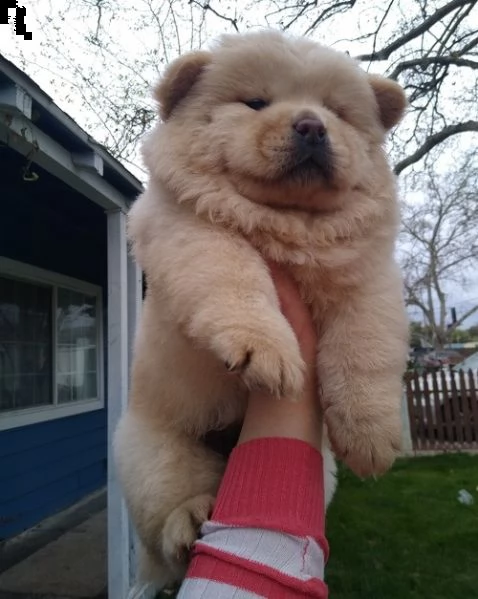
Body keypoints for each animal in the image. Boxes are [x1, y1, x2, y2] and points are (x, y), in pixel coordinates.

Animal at [114, 30, 408, 588]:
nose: (312, 125)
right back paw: (191, 519)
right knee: (166, 521)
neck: (288, 223)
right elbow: (237, 275)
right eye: (255, 103)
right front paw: (267, 351)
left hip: (318, 470)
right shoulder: (190, 231)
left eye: (336, 112)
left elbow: (365, 347)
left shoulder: (369, 281)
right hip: (154, 450)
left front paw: (372, 436)